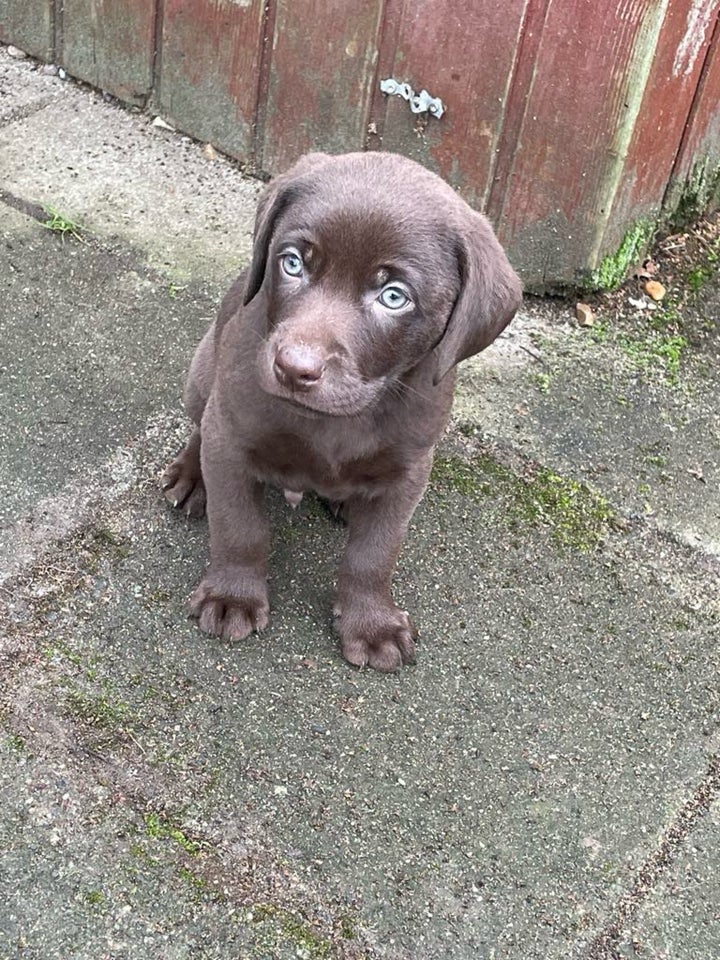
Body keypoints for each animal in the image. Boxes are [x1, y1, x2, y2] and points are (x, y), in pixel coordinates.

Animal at [162, 154, 524, 672]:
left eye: (394, 296)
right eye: (292, 263)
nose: (293, 368)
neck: (340, 420)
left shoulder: (408, 471)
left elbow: (374, 554)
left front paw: (371, 625)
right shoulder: (230, 436)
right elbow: (239, 526)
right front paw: (233, 597)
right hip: (202, 373)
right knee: (198, 426)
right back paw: (192, 477)